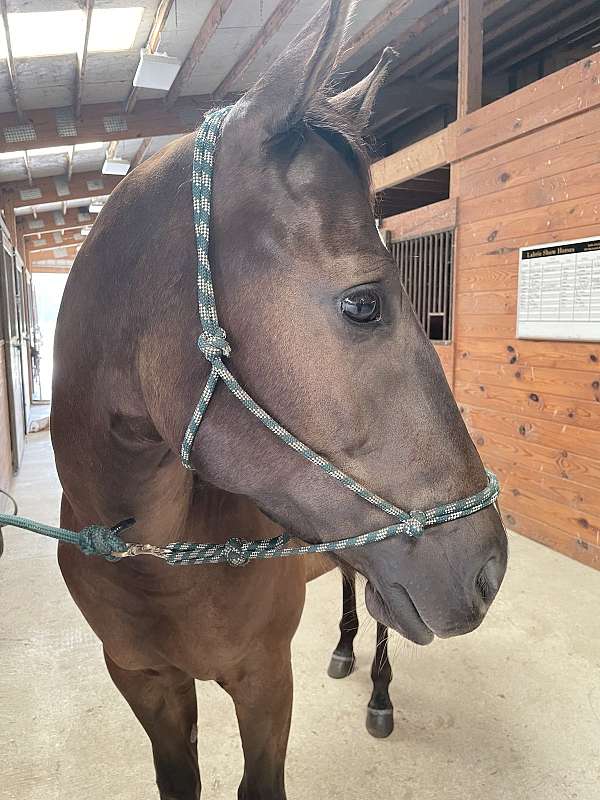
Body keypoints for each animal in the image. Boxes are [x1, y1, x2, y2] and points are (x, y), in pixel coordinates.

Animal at [50, 1, 508, 797]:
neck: (151, 559)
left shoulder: (265, 680)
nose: (491, 570)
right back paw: (346, 649)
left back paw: (378, 690)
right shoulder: (145, 684)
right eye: (363, 304)